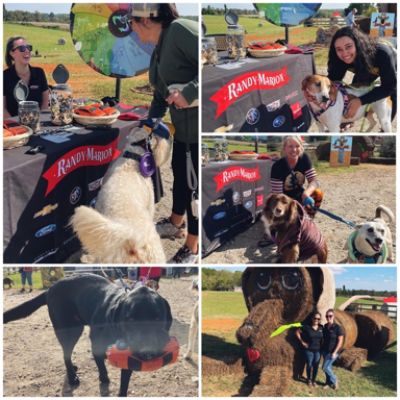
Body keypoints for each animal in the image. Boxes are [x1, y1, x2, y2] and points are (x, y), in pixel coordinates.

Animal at [3, 274, 172, 396]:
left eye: (158, 318)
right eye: (129, 319)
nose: (148, 353)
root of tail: (50, 288)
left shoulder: (128, 355)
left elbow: (124, 380)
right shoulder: (96, 342)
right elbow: (100, 363)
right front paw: (104, 378)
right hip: (70, 330)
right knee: (66, 353)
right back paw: (72, 377)